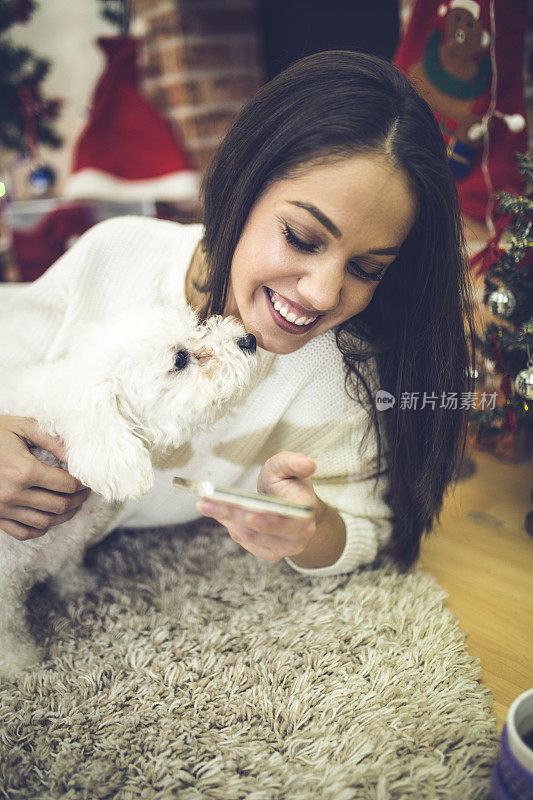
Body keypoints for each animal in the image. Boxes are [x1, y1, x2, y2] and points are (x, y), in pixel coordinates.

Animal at [0, 304, 258, 680]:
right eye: (180, 359)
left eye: (196, 325)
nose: (249, 339)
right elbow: (8, 628)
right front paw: (19, 662)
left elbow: (68, 563)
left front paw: (77, 585)